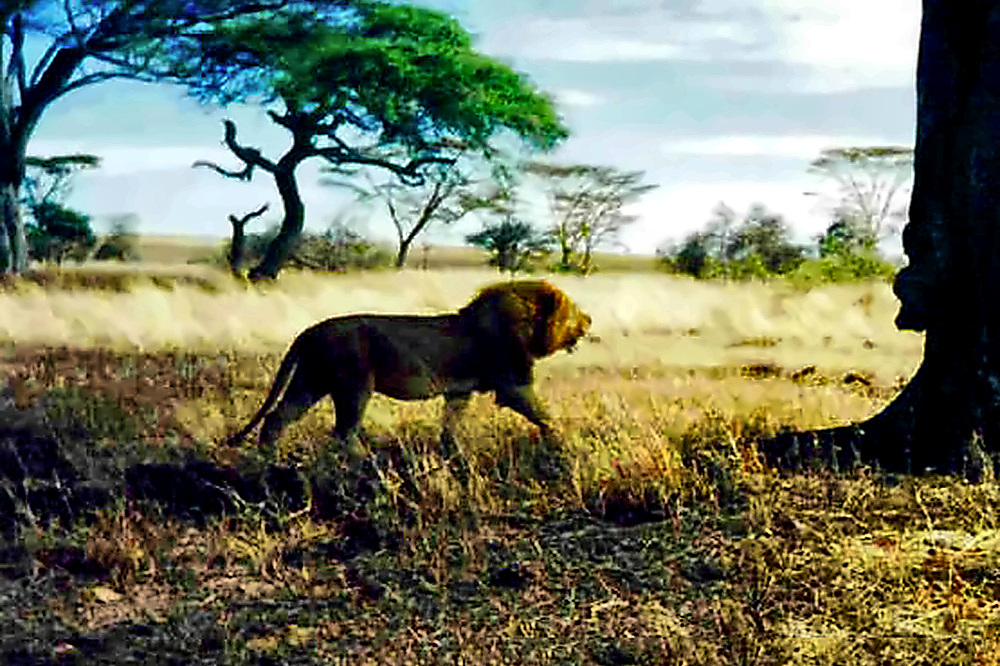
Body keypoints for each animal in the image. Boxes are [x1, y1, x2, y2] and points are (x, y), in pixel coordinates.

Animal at [226, 280, 592, 464]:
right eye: (574, 312)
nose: (589, 319)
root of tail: (310, 330)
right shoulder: (513, 385)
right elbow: (546, 415)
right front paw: (567, 443)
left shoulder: (459, 391)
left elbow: (451, 426)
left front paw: (454, 455)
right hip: (354, 385)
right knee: (343, 433)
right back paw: (365, 465)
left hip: (311, 381)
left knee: (277, 417)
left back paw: (267, 461)